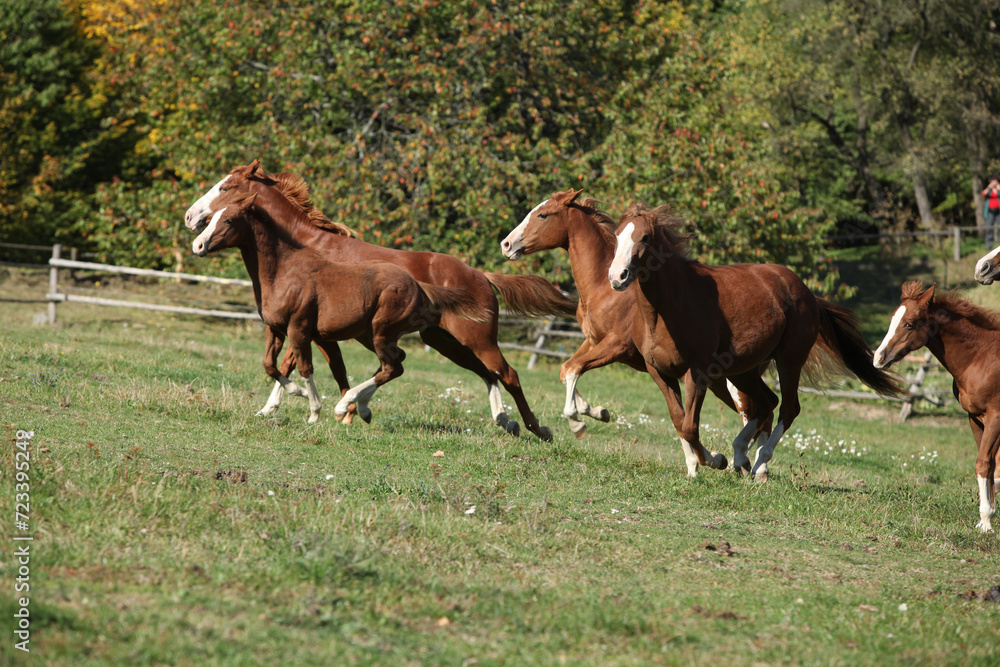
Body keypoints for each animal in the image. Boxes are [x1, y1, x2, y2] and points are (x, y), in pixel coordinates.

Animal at [191, 188, 491, 424]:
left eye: (229, 219)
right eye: (211, 218)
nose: (198, 245)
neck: (282, 273)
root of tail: (419, 287)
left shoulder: (299, 328)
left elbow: (305, 368)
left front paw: (313, 409)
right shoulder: (274, 328)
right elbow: (269, 365)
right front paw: (294, 396)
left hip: (381, 332)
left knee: (393, 368)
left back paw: (345, 405)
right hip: (373, 335)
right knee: (395, 363)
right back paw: (361, 408)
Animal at [501, 189, 775, 477]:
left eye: (543, 214)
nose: (506, 244)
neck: (603, 288)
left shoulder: (616, 346)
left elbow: (575, 369)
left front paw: (578, 423)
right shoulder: (593, 341)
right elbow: (566, 370)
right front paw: (597, 411)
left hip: (731, 381)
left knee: (754, 412)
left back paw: (747, 465)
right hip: (720, 381)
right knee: (762, 411)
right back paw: (749, 467)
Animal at [608, 202, 903, 481]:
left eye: (645, 237)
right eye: (617, 235)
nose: (617, 277)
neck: (666, 310)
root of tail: (807, 293)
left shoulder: (697, 372)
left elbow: (690, 426)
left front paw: (716, 460)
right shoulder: (660, 373)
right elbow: (679, 421)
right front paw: (693, 469)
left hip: (788, 361)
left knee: (787, 408)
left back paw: (758, 463)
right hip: (743, 371)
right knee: (767, 402)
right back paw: (741, 455)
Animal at [873, 281, 1000, 532]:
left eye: (909, 323)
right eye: (892, 319)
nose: (878, 358)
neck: (982, 358)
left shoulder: (995, 417)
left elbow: (984, 463)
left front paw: (986, 522)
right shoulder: (975, 417)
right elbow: (990, 466)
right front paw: (985, 519)